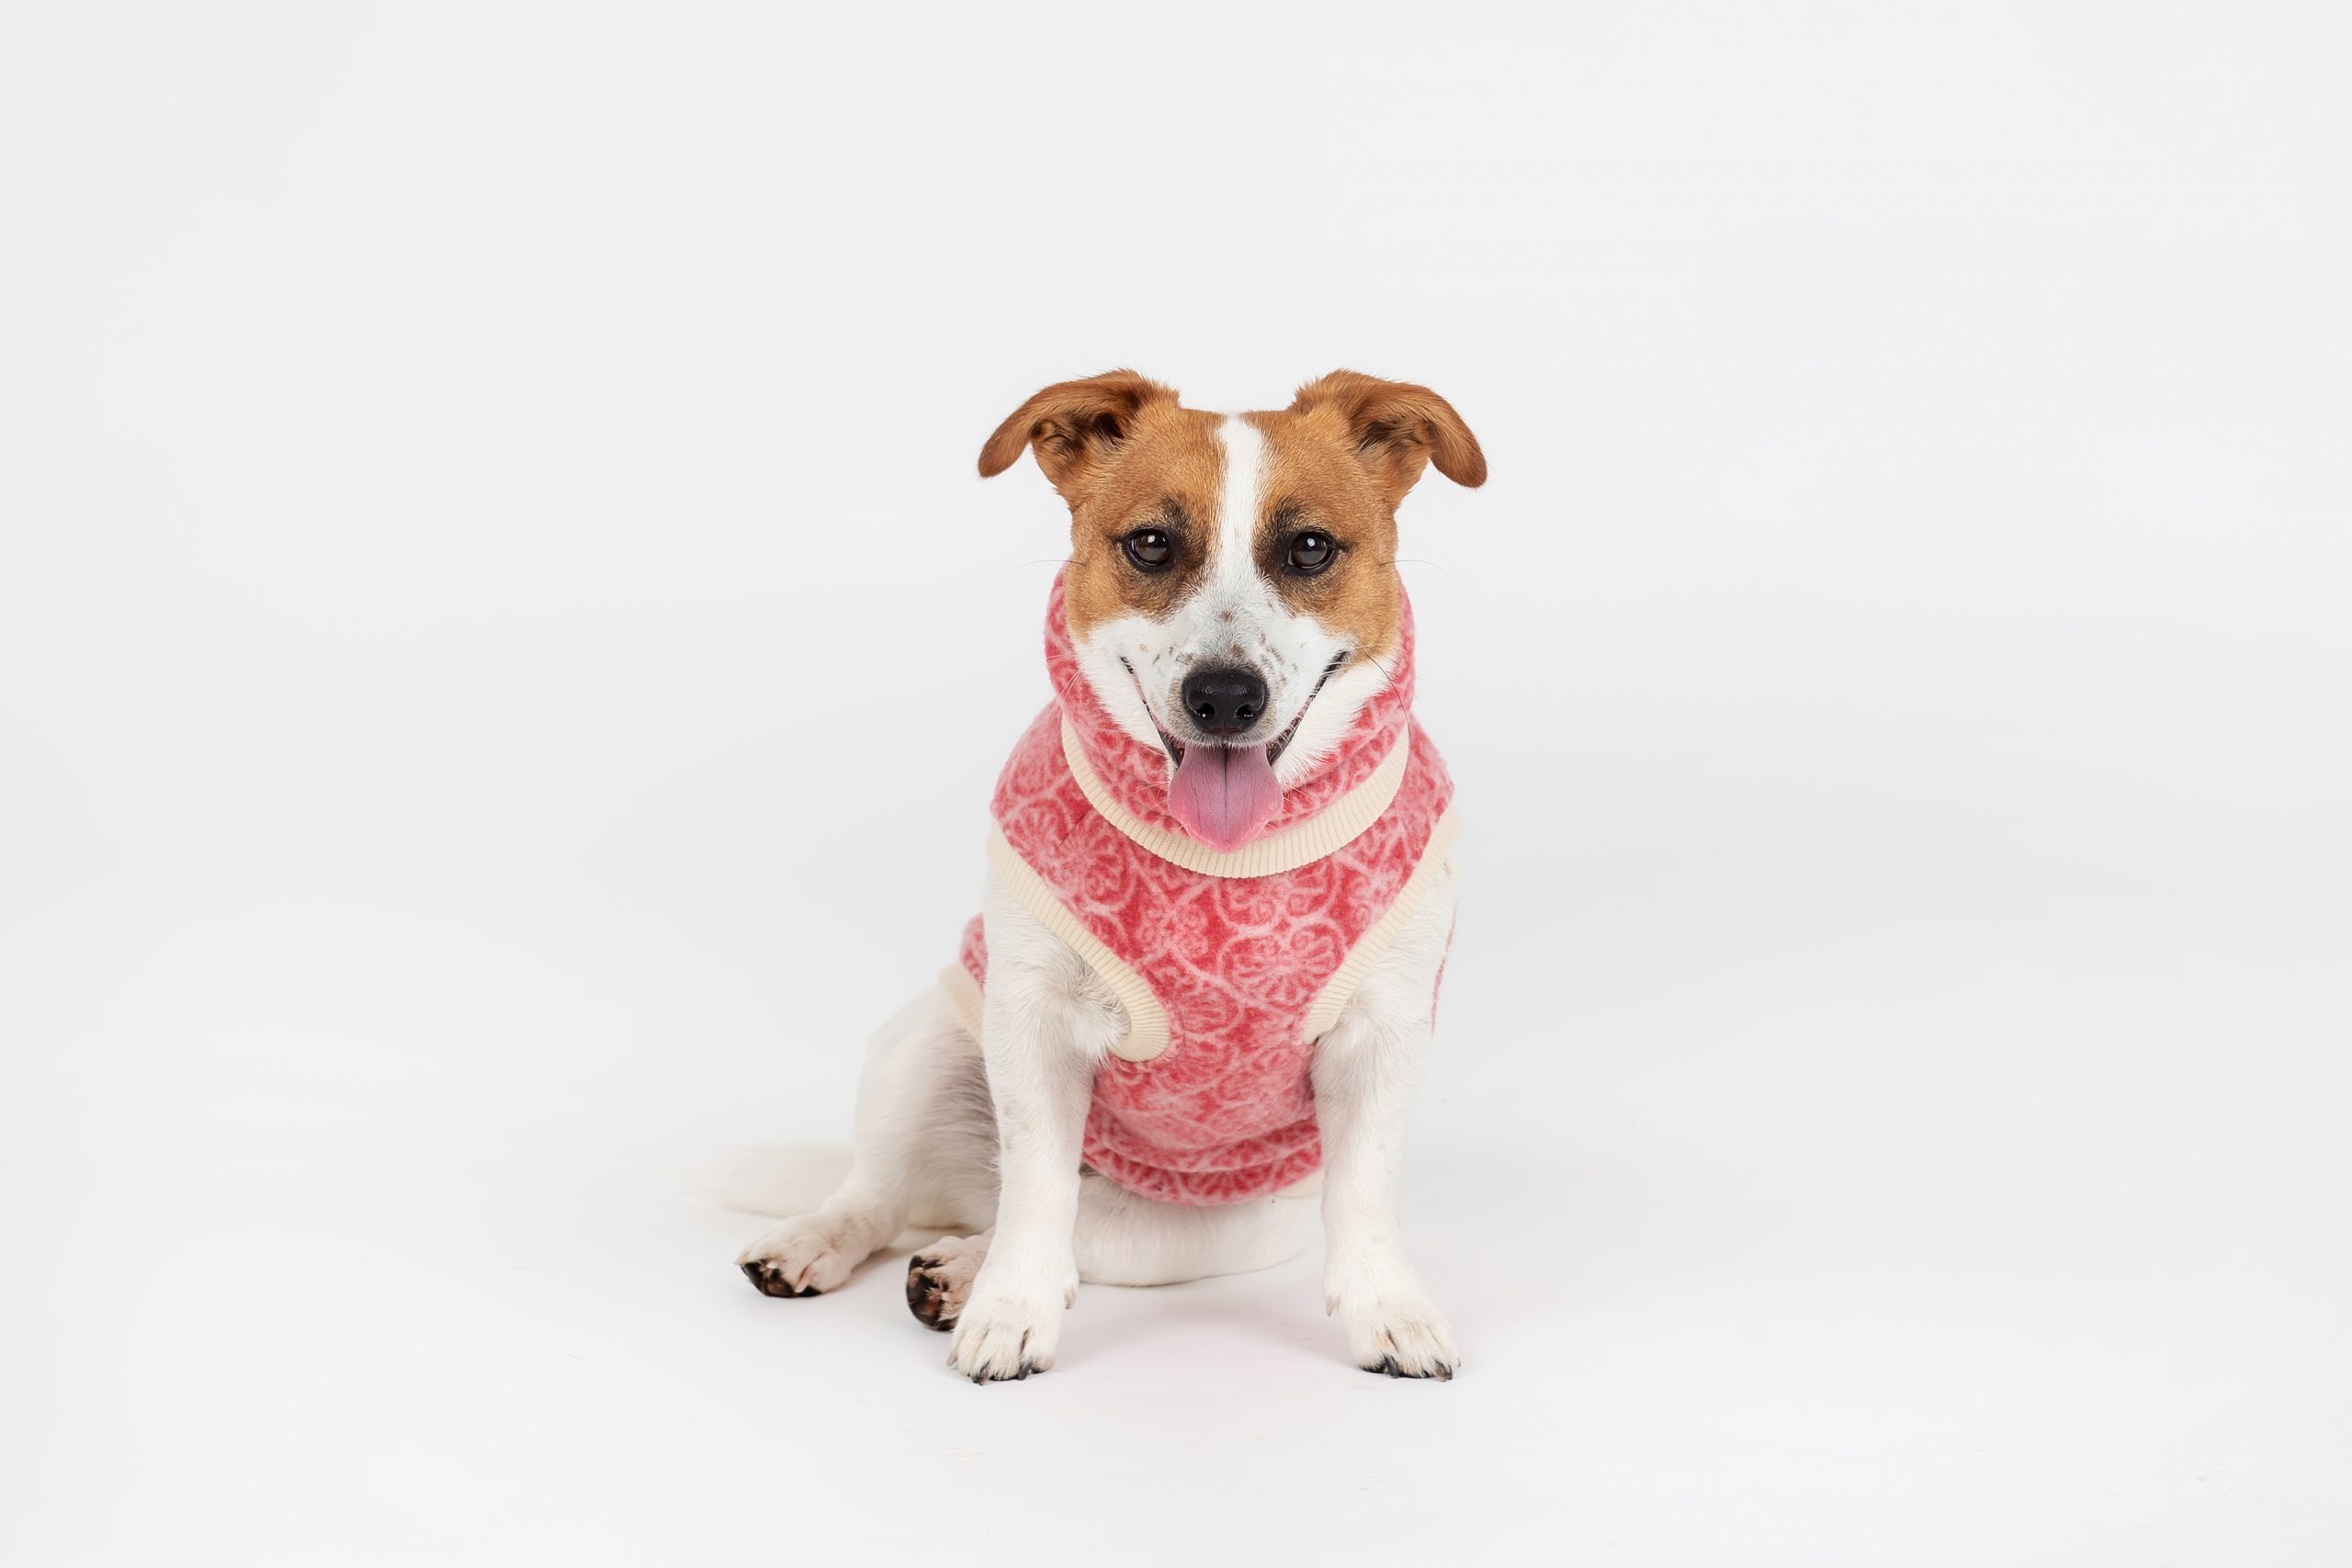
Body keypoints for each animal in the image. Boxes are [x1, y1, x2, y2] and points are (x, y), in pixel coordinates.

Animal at [736, 369, 1485, 1380]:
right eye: (1151, 542)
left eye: (1311, 547)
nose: (1223, 696)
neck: (1226, 859)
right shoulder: (1030, 1020)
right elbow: (1036, 1191)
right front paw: (1009, 1312)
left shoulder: (1382, 1034)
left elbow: (1364, 1197)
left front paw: (1389, 1310)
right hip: (926, 1043)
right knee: (900, 1195)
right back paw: (831, 1242)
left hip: (1220, 1221)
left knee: (1093, 1225)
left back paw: (958, 1266)